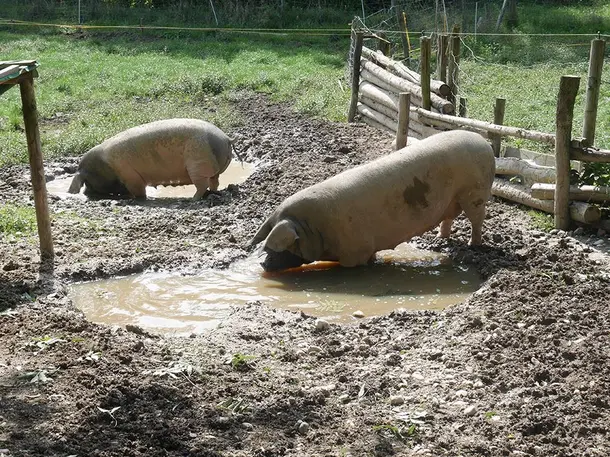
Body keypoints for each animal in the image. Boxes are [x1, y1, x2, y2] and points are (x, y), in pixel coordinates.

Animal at [66, 118, 238, 199]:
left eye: (88, 181)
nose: (87, 193)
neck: (107, 167)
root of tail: (226, 138)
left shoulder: (131, 176)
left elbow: (139, 192)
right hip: (209, 168)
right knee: (214, 182)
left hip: (198, 165)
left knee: (202, 185)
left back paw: (193, 199)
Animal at [247, 128, 494, 270]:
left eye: (280, 247)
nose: (262, 265)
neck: (314, 228)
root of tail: (484, 142)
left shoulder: (356, 250)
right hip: (457, 197)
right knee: (449, 218)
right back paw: (440, 238)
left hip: (475, 192)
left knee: (477, 219)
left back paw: (473, 245)